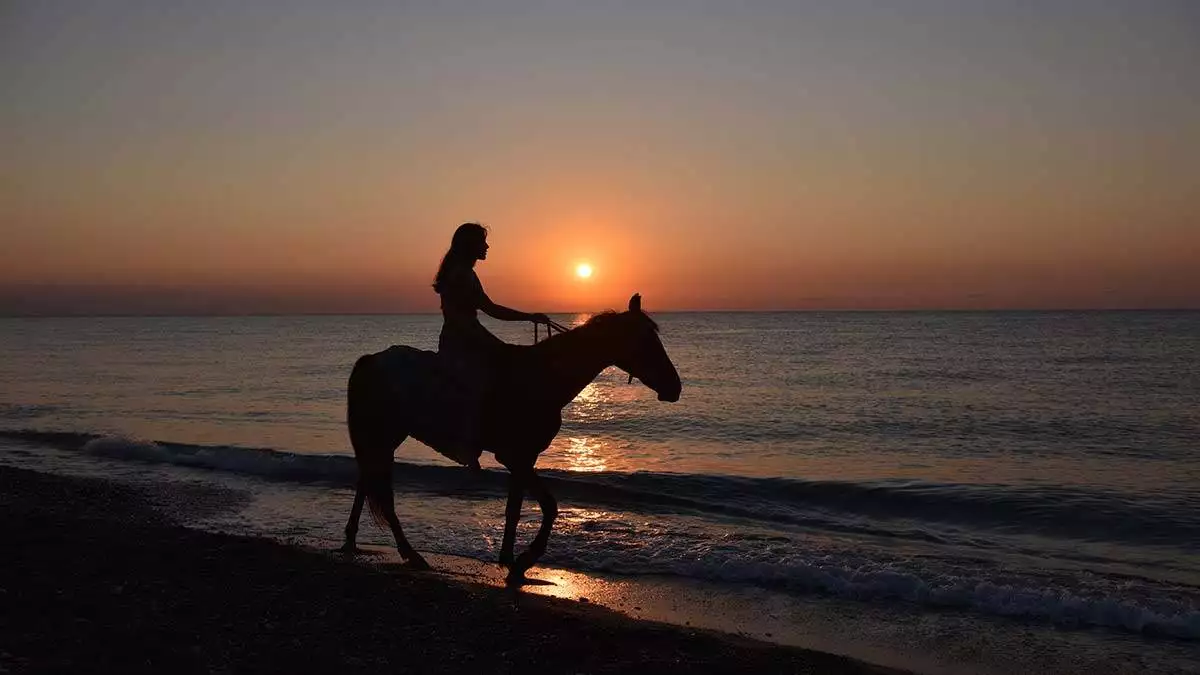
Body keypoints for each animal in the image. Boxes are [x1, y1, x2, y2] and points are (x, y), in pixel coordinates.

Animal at [343, 291, 681, 581]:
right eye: (646, 340)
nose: (675, 387)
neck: (541, 378)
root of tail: (370, 360)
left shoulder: (522, 458)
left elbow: (516, 508)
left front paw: (509, 559)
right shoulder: (516, 455)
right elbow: (546, 505)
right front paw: (524, 560)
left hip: (380, 437)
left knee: (367, 481)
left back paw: (352, 540)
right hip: (384, 435)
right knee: (382, 494)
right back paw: (410, 554)